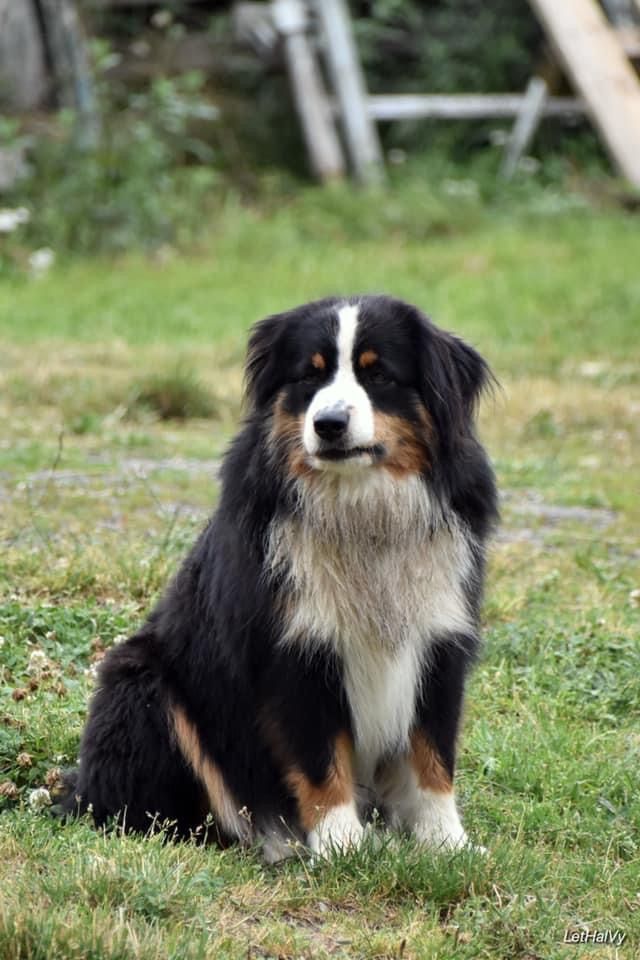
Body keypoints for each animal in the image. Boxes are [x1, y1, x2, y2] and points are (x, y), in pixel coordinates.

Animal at [62, 295, 498, 860]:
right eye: (309, 375)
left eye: (378, 374)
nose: (329, 424)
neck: (361, 510)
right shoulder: (293, 646)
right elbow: (319, 756)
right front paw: (342, 845)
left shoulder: (439, 636)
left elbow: (432, 755)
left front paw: (448, 845)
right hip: (142, 684)